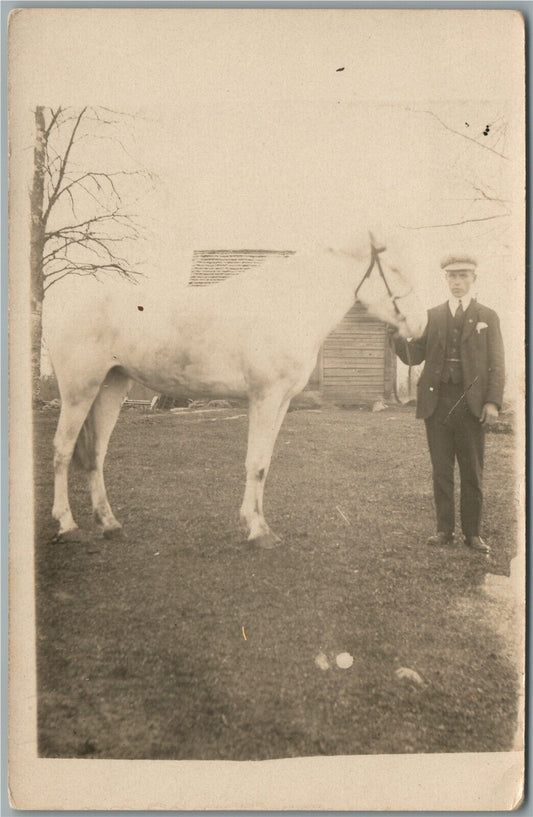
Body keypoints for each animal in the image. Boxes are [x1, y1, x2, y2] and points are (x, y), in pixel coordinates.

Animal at [43, 236, 427, 548]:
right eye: (393, 268)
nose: (420, 324)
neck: (287, 304)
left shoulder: (281, 402)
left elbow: (264, 463)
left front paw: (255, 524)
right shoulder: (265, 397)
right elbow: (255, 463)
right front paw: (258, 532)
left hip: (111, 386)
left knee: (96, 454)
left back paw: (110, 524)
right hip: (79, 390)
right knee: (62, 451)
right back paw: (67, 526)